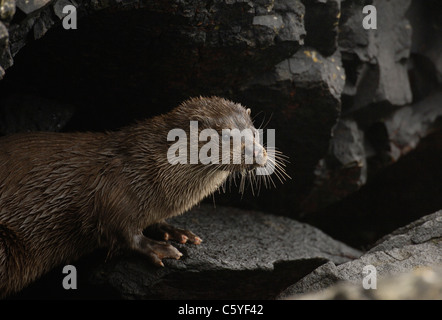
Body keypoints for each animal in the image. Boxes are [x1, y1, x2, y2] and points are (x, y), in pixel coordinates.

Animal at [0, 96, 286, 298]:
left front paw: (175, 231)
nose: (256, 153)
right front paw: (158, 247)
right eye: (225, 135)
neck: (147, 167)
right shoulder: (112, 191)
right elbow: (121, 232)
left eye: (254, 132)